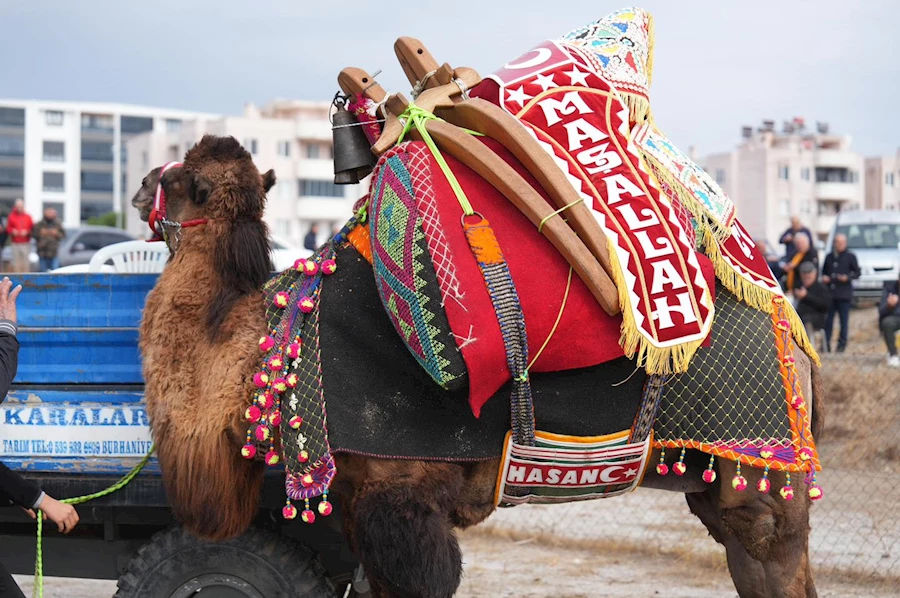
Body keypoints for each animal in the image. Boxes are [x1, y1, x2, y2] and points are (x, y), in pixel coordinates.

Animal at [137, 135, 828, 598]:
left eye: (179, 176)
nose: (142, 184)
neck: (265, 345)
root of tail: (790, 321)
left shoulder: (403, 490)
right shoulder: (360, 496)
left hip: (762, 467)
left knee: (772, 550)